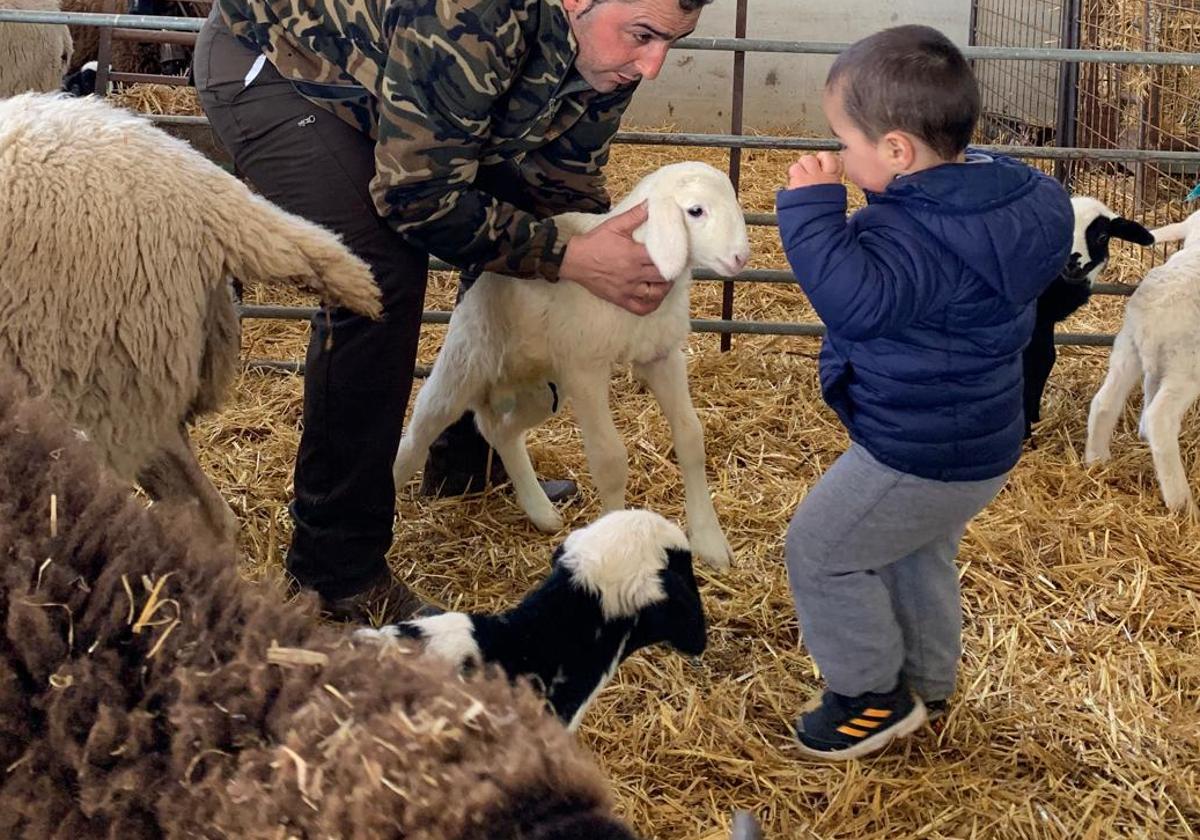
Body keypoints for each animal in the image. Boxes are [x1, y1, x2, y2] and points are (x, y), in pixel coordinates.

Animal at [391, 162, 748, 571]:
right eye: (695, 211)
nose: (740, 258)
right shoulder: (586, 370)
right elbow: (610, 461)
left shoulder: (662, 356)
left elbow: (691, 438)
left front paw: (710, 541)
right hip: (466, 361)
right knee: (421, 431)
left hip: (543, 390)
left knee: (500, 431)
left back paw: (540, 511)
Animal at [1089, 210, 1200, 511]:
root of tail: (1153, 317)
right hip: (1185, 366)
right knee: (1160, 418)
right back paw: (1182, 503)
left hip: (1128, 348)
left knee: (1104, 402)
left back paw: (1096, 459)